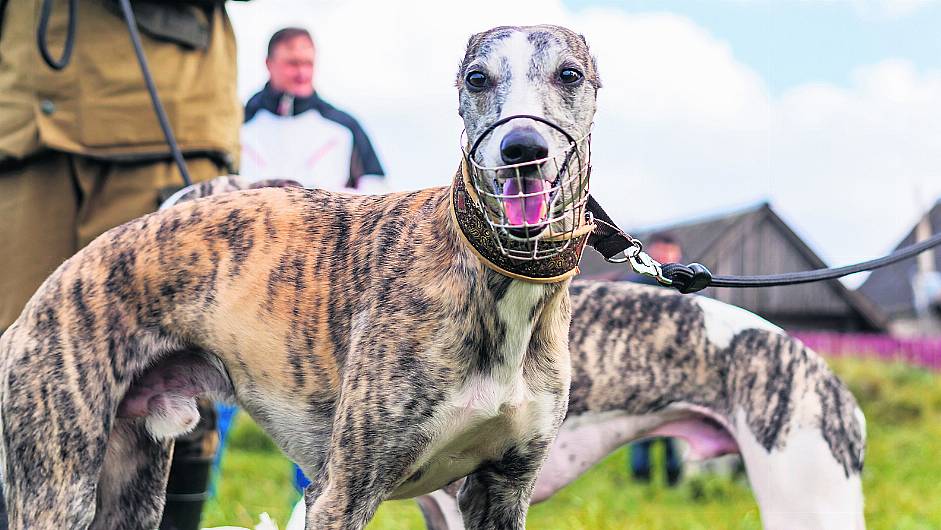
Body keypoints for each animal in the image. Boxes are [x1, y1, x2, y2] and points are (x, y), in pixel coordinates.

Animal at [0, 24, 600, 528]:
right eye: (478, 78)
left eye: (569, 74)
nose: (522, 149)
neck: (492, 276)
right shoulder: (340, 493)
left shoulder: (503, 490)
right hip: (59, 485)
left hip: (132, 482)